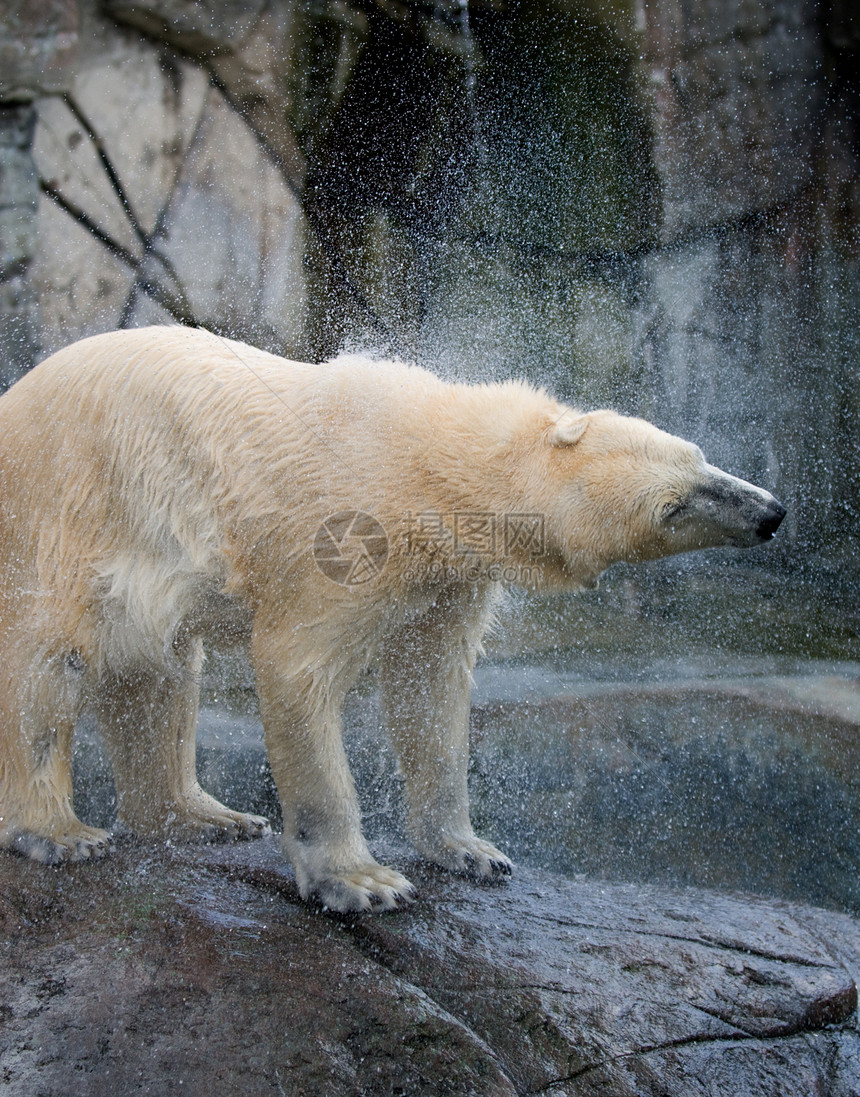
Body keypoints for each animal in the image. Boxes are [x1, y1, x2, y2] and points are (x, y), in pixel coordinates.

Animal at [0, 329, 781, 912]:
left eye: (701, 459)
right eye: (674, 506)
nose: (770, 512)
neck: (430, 457)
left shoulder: (446, 578)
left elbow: (429, 688)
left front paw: (472, 850)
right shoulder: (345, 537)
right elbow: (299, 669)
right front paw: (361, 881)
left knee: (158, 673)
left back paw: (206, 816)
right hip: (68, 513)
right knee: (49, 664)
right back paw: (62, 832)